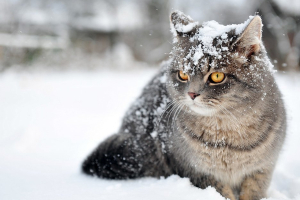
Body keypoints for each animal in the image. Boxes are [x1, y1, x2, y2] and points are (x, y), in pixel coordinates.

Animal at [81, 10, 286, 200]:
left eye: (216, 76)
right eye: (183, 74)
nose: (192, 94)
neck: (227, 137)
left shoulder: (261, 170)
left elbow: (253, 192)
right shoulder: (197, 171)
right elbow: (222, 192)